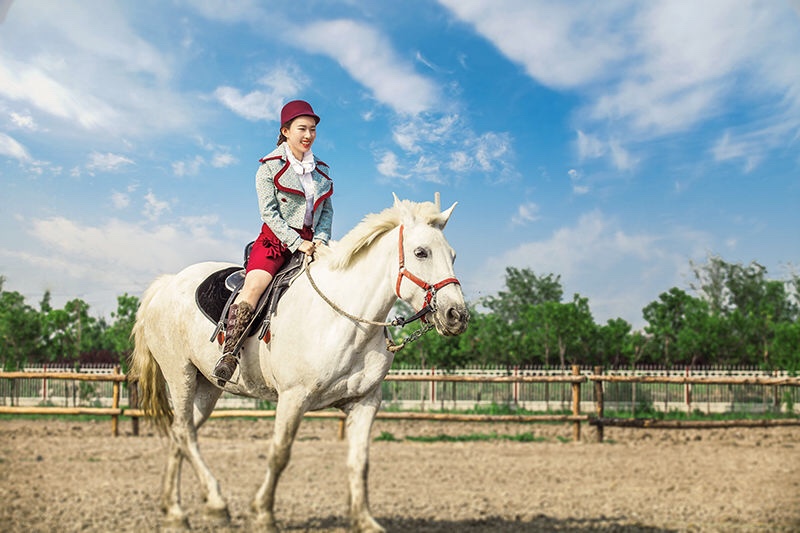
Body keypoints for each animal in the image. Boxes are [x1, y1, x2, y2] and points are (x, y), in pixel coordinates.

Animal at [126, 195, 468, 532]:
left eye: (453, 255)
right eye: (421, 252)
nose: (457, 315)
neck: (345, 320)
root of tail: (167, 285)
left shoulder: (365, 402)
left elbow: (360, 462)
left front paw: (364, 520)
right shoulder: (293, 398)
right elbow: (279, 454)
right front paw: (263, 514)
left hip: (207, 387)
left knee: (180, 434)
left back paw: (174, 509)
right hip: (180, 375)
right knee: (185, 433)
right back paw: (213, 503)